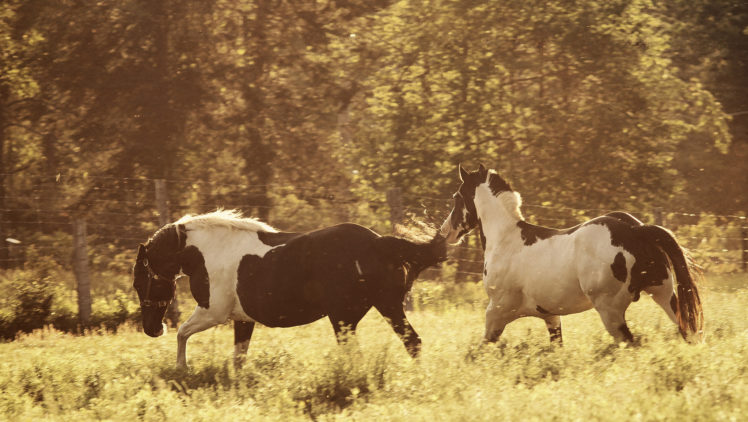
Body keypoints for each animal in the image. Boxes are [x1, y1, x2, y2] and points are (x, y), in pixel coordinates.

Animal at [132, 210, 447, 367]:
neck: (209, 251)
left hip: (345, 318)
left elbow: (183, 333)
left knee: (361, 353)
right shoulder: (242, 320)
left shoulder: (213, 312)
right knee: (413, 343)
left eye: (139, 282)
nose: (152, 330)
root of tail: (379, 242)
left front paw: (182, 369)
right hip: (384, 308)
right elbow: (238, 359)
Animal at [439, 164, 703, 346]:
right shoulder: (550, 316)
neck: (505, 240)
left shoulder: (496, 311)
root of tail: (635, 230)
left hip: (611, 311)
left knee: (631, 343)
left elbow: (478, 351)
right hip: (664, 294)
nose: (445, 232)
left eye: (456, 197)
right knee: (688, 333)